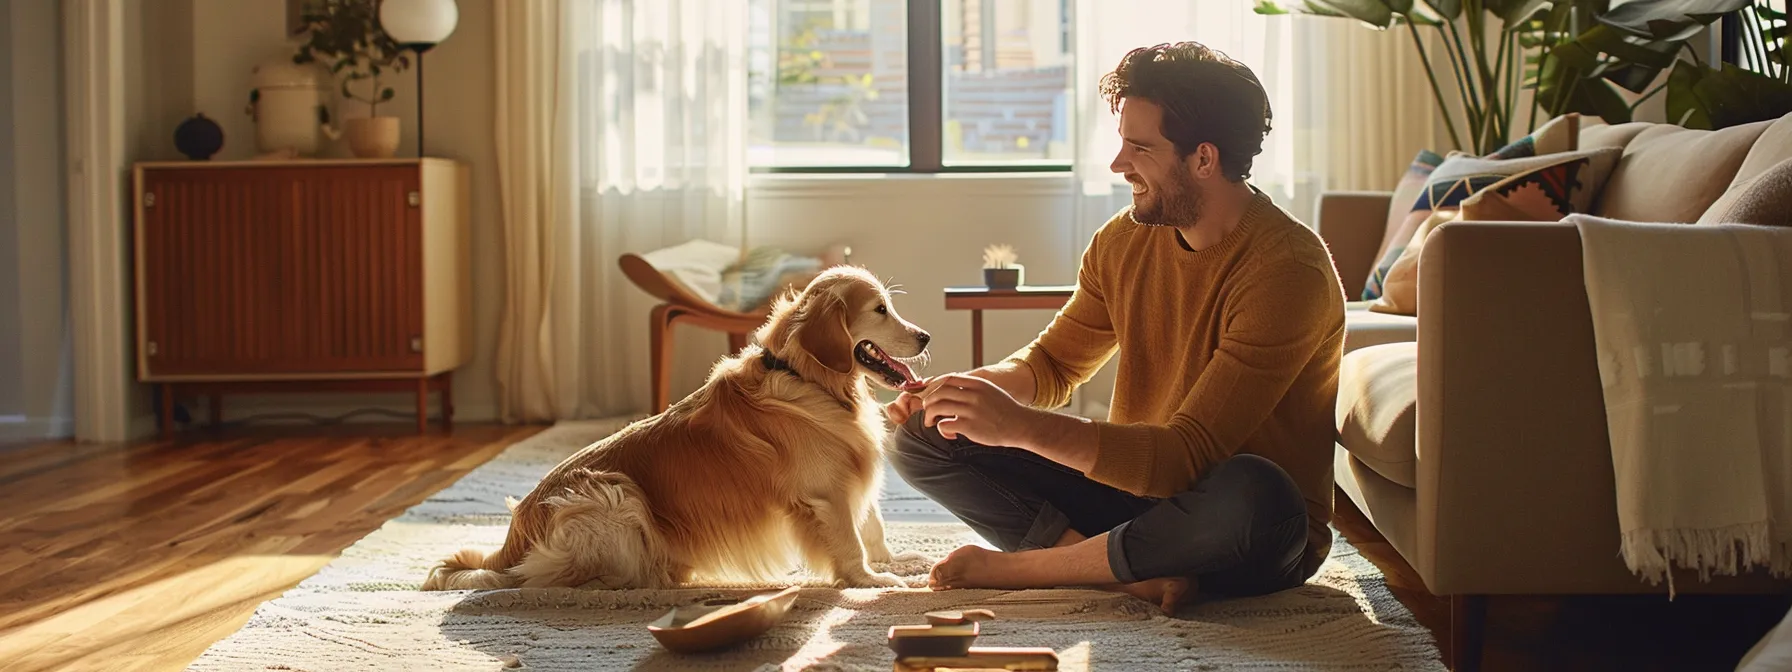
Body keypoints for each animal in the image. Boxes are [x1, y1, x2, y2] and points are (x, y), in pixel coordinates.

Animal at [415, 265, 924, 591]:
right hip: (612, 497)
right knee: (551, 576)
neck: (808, 379)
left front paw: (898, 562)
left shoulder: (851, 479)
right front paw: (873, 580)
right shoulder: (824, 492)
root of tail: (511, 539)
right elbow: (851, 542)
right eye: (879, 309)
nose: (926, 336)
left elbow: (873, 526)